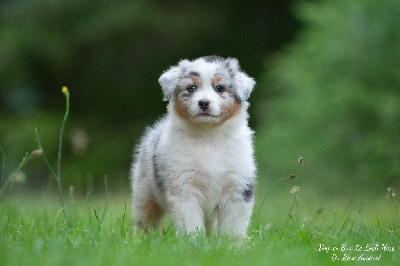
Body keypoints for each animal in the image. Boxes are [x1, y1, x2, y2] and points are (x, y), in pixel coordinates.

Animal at [130, 56, 256, 239]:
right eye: (191, 88)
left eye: (219, 88)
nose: (204, 102)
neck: (209, 137)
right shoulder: (184, 188)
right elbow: (190, 223)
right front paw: (194, 243)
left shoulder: (238, 187)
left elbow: (233, 225)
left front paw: (231, 244)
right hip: (145, 191)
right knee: (146, 219)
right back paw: (143, 241)